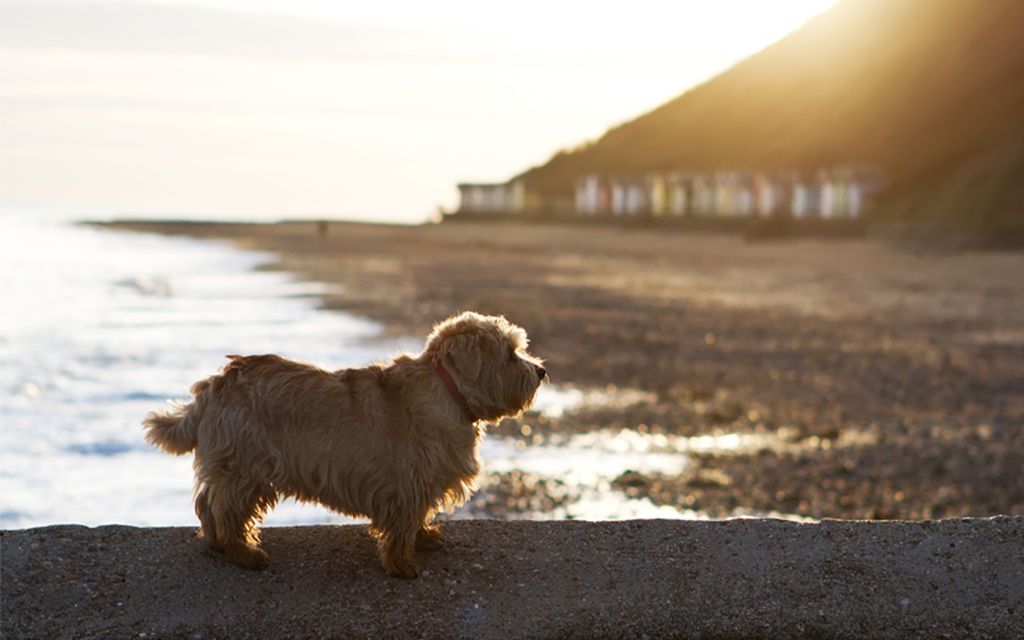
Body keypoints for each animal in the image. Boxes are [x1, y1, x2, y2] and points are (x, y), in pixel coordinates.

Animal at [142, 311, 552, 577]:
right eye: (510, 353)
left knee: (207, 503)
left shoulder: (419, 485)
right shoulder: (407, 484)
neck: (447, 391)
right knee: (224, 508)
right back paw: (243, 553)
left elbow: (417, 518)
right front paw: (402, 565)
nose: (542, 371)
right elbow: (402, 524)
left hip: (235, 468)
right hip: (246, 469)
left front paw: (424, 538)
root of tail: (213, 385)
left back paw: (217, 544)